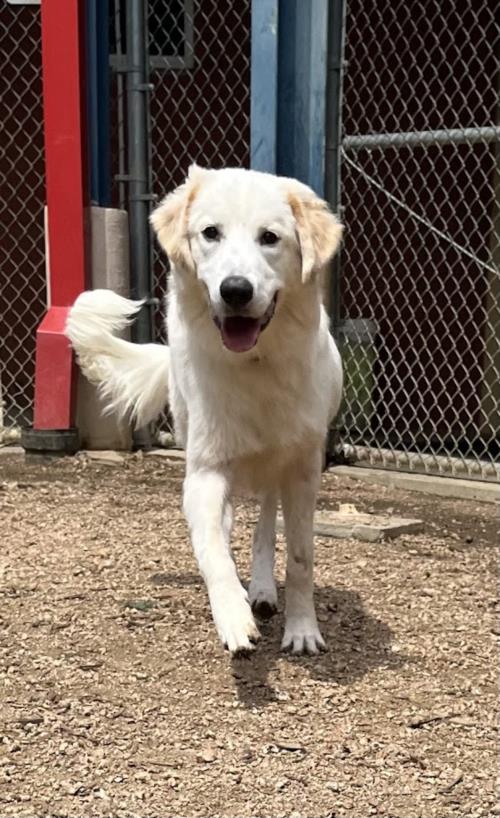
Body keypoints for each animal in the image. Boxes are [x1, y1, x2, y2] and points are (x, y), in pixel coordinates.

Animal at [66, 166, 344, 656]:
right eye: (210, 233)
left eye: (270, 238)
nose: (235, 290)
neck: (255, 365)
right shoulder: (205, 472)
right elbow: (212, 549)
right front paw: (232, 614)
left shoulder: (301, 471)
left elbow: (300, 557)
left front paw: (302, 629)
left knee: (265, 524)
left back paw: (264, 589)